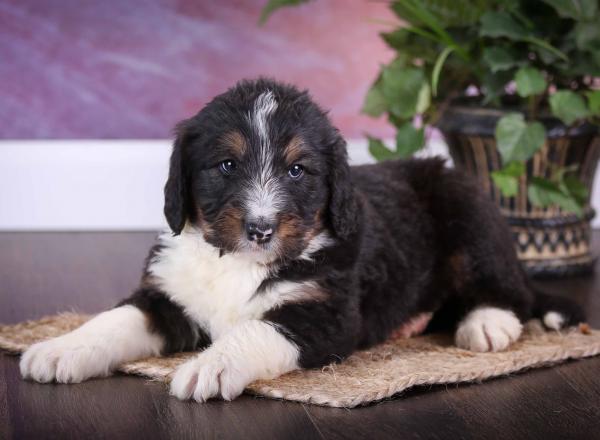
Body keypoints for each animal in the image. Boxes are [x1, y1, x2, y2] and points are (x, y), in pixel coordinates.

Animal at [21, 78, 584, 402]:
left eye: (297, 171)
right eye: (227, 165)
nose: (261, 228)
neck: (237, 262)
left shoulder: (324, 313)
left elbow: (255, 330)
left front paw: (210, 366)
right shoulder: (168, 296)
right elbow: (116, 319)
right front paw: (59, 349)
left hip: (468, 208)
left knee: (505, 287)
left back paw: (487, 324)